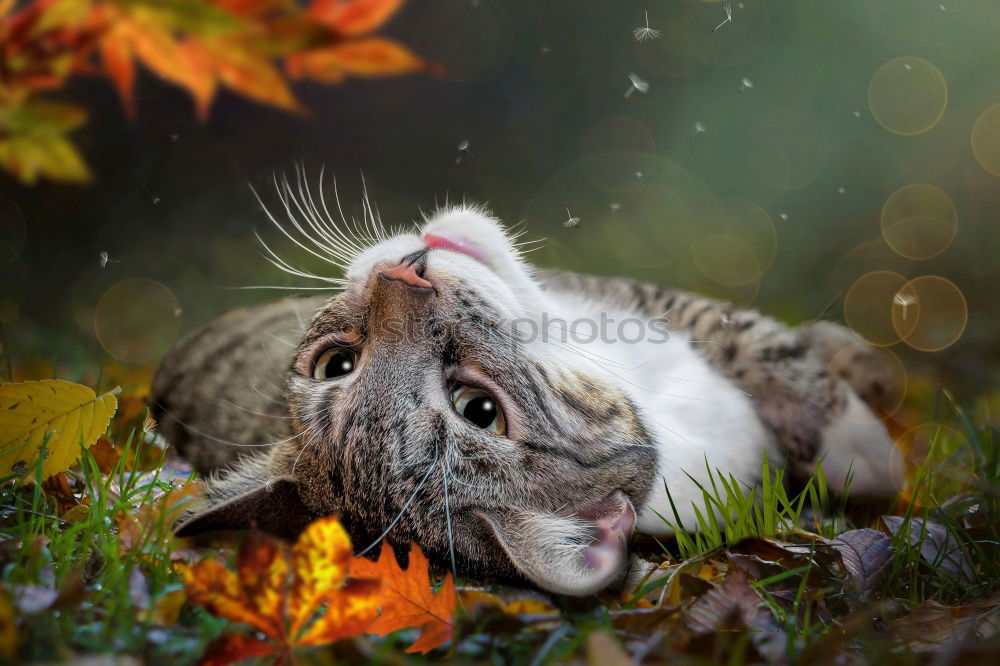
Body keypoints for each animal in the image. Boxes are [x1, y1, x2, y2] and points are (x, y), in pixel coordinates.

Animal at [150, 196, 900, 592]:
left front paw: (852, 398)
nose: (405, 273)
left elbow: (751, 335)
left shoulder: (633, 300)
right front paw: (867, 455)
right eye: (479, 411)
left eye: (336, 362)